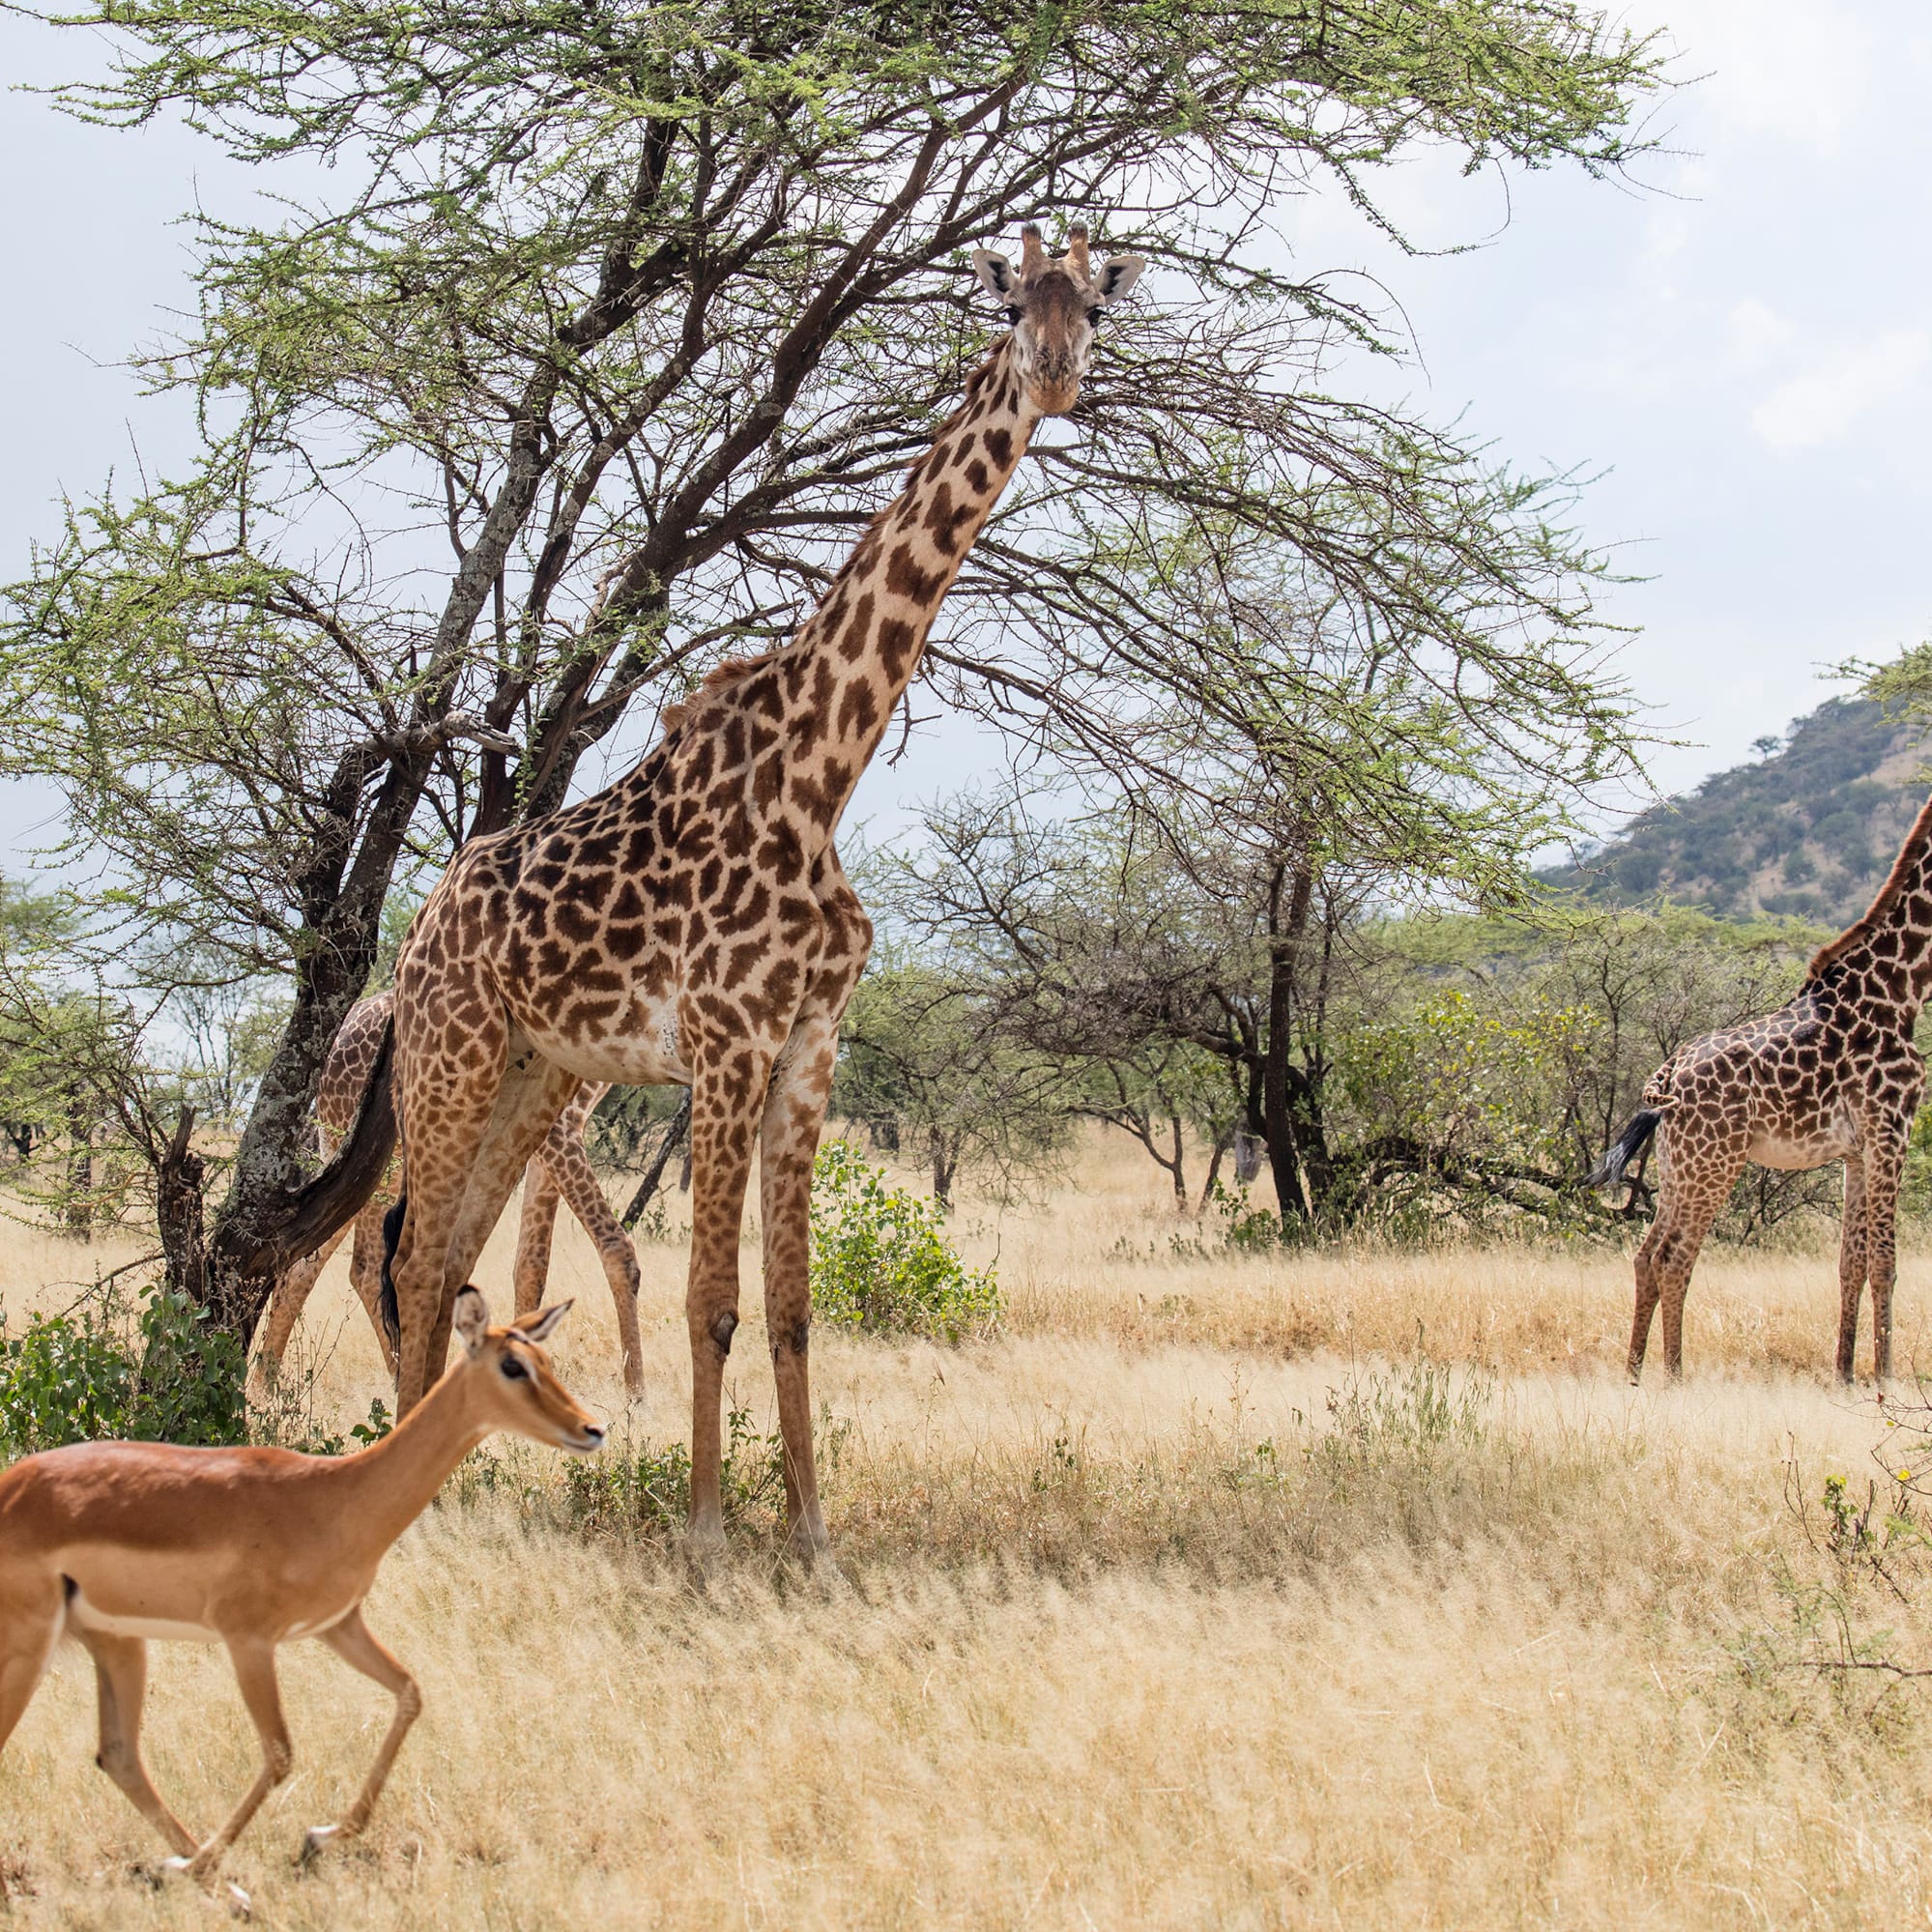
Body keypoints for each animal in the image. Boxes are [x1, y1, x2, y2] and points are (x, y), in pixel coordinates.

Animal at [254, 993, 645, 1396]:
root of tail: (333, 1046)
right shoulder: (558, 1126)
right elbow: (617, 1248)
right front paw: (636, 1393)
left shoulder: (555, 1126)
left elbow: (531, 1265)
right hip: (377, 1157)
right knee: (360, 1266)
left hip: (358, 1156)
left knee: (308, 1263)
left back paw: (263, 1385)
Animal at [372, 223, 1144, 1556]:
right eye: (1009, 305)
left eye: (1094, 305)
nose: (1052, 373)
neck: (820, 773)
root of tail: (417, 922)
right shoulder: (728, 1042)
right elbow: (711, 1301)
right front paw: (705, 1536)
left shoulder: (810, 1045)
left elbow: (790, 1306)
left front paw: (813, 1537)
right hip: (450, 1053)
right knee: (417, 1259)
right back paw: (416, 1507)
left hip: (532, 1072)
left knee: (448, 1253)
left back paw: (448, 1487)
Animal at [1590, 793, 1932, 1383]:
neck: (1902, 990)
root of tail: (1666, 1075)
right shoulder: (1891, 1130)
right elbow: (1886, 1261)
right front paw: (1885, 1378)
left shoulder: (1856, 1151)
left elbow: (1852, 1261)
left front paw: (1844, 1374)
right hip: (1716, 1163)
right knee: (1673, 1258)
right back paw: (1675, 1375)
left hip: (1680, 1166)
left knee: (1645, 1254)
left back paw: (1634, 1373)